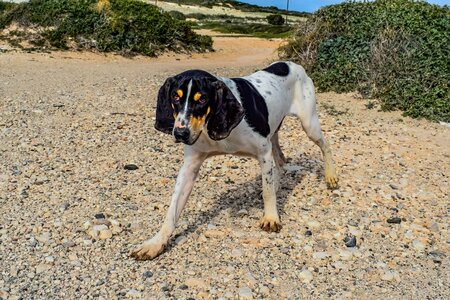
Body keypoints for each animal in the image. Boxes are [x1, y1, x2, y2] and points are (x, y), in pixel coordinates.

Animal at [132, 61, 340, 260]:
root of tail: (292, 64)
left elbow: (267, 192)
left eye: (202, 99)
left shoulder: (263, 153)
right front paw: (155, 243)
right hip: (274, 133)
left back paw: (331, 176)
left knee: (326, 146)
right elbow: (172, 210)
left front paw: (271, 217)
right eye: (175, 97)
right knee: (280, 160)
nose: (180, 133)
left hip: (309, 125)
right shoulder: (190, 166)